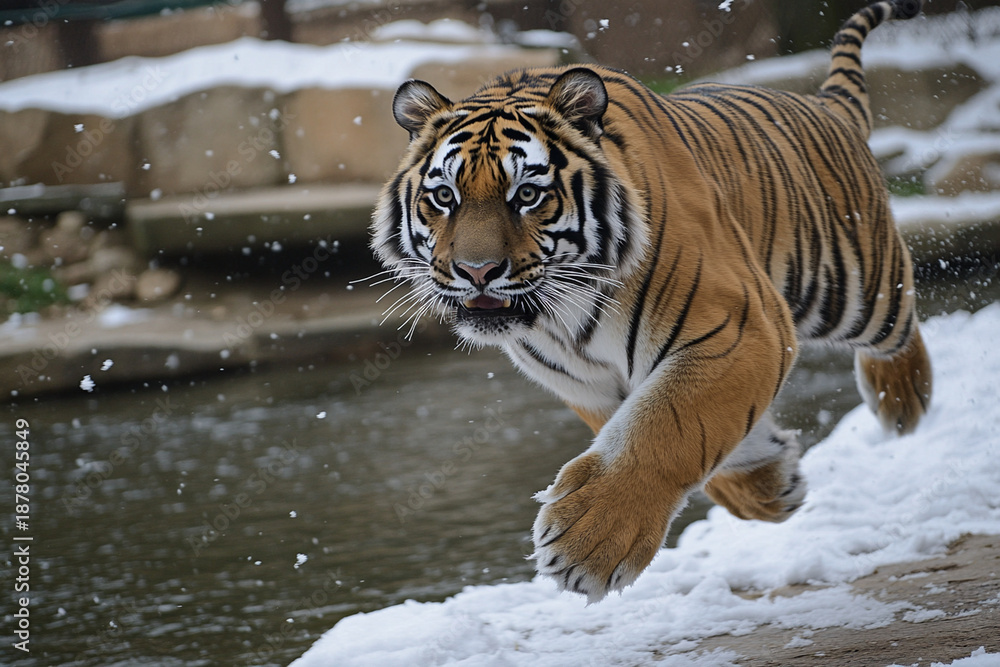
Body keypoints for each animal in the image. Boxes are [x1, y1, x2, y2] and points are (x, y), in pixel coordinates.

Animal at [370, 0, 932, 602]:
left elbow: (666, 427)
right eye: (443, 197)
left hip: (855, 287)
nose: (476, 272)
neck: (560, 318)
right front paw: (770, 482)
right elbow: (694, 432)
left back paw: (904, 401)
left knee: (898, 323)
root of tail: (826, 105)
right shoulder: (587, 383)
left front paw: (586, 546)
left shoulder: (741, 323)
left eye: (528, 195)